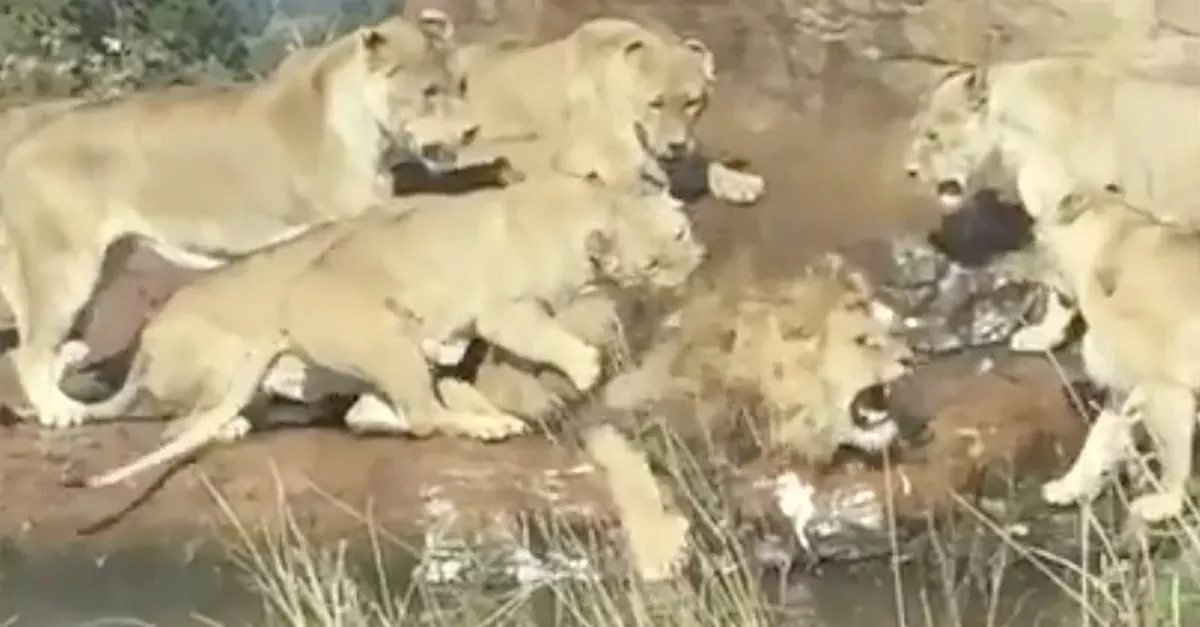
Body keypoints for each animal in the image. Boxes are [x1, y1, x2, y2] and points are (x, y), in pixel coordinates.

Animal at [0, 9, 480, 431]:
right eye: (430, 91)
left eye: (461, 85)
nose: (473, 130)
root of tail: (23, 138)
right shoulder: (347, 235)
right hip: (62, 266)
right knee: (29, 350)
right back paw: (60, 411)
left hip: (106, 261)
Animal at [63, 173, 706, 488]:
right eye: (654, 261)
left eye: (681, 232)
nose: (693, 265)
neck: (595, 211)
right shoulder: (504, 310)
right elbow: (547, 338)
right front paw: (584, 366)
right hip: (380, 339)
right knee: (418, 416)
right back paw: (487, 426)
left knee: (380, 412)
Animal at [1031, 186, 1200, 523]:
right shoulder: (1121, 393)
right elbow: (1097, 443)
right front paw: (1070, 487)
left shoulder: (1168, 392)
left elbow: (1173, 457)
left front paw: (1165, 503)